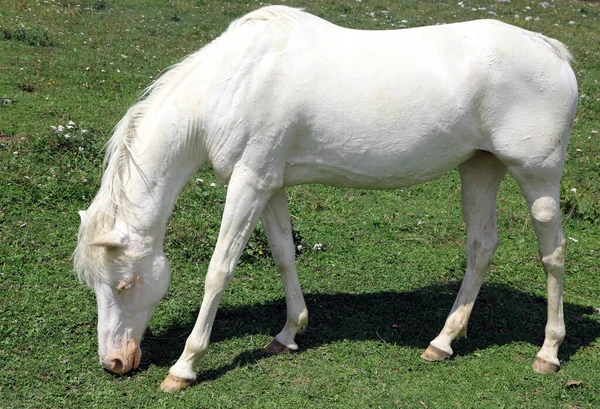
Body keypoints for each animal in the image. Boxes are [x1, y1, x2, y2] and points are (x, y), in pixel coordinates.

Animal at [74, 5, 576, 388]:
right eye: (96, 285)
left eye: (124, 285)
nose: (114, 362)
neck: (234, 82)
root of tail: (552, 50)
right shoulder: (269, 184)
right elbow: (283, 255)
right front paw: (288, 333)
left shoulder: (248, 184)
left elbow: (218, 271)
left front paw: (184, 366)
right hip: (480, 168)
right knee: (481, 247)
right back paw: (442, 342)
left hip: (538, 178)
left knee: (553, 254)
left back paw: (548, 352)